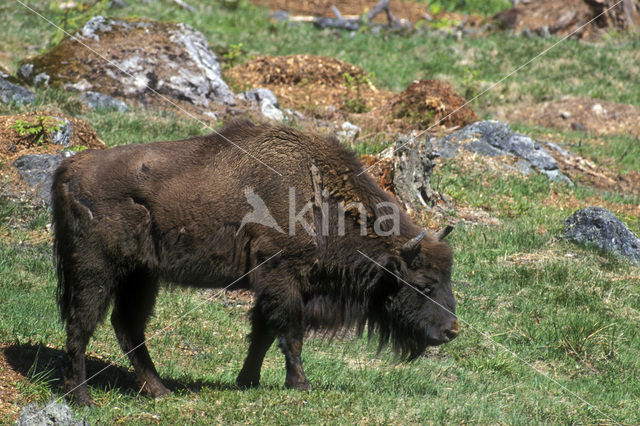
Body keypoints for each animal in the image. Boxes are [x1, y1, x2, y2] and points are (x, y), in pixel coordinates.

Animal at [52, 118, 458, 404]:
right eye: (423, 285)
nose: (452, 331)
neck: (317, 195)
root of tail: (69, 170)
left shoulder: (275, 284)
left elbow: (262, 334)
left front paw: (247, 381)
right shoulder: (282, 278)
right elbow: (289, 333)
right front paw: (300, 384)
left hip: (141, 276)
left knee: (127, 326)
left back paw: (159, 391)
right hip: (96, 272)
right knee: (82, 326)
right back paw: (82, 398)